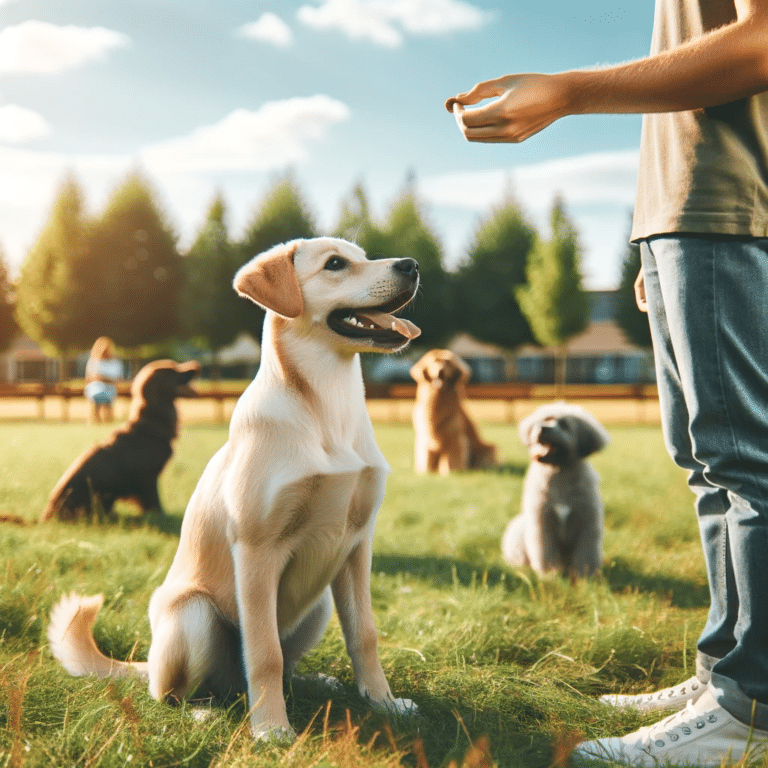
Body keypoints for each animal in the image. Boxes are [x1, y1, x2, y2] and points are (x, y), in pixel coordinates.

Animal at [41, 360, 200, 520]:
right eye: (173, 370)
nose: (196, 365)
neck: (152, 419)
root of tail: (47, 516)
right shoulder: (147, 477)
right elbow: (155, 501)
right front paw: (160, 516)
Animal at [500, 402, 608, 576]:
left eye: (564, 424)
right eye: (545, 419)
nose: (542, 428)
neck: (559, 473)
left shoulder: (587, 523)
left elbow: (585, 555)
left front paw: (583, 576)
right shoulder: (542, 523)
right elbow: (545, 552)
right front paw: (549, 574)